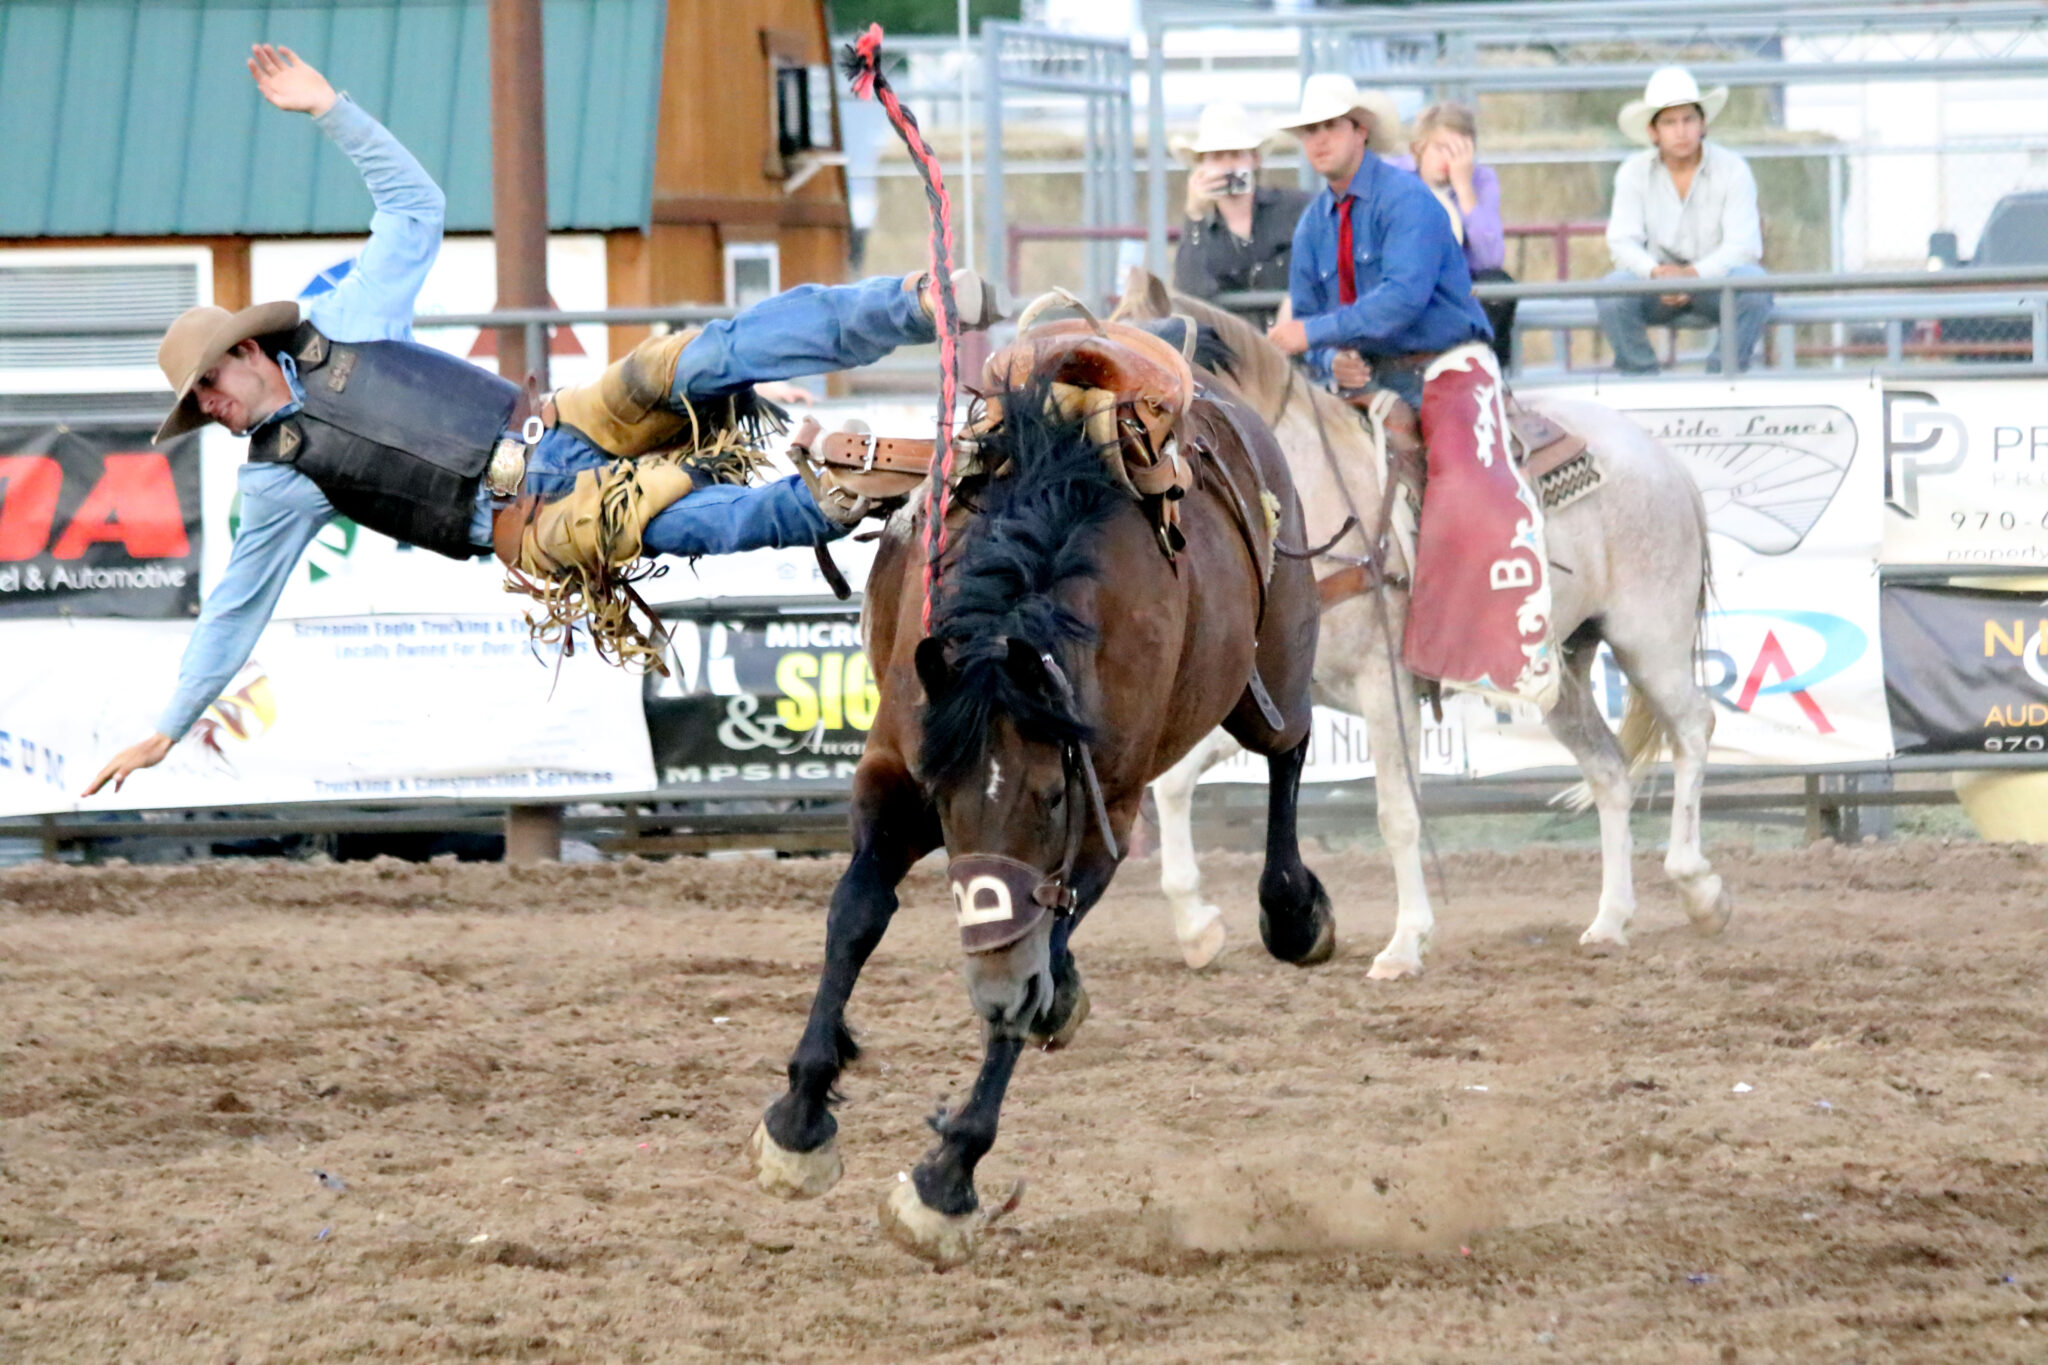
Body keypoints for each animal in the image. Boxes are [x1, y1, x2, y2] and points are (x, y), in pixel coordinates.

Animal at [749, 304, 1327, 1268]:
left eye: (1053, 797)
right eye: (945, 796)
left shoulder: (1106, 816)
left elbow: (1029, 980)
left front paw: (945, 1182)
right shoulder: (893, 770)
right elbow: (856, 917)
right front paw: (798, 1119)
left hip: (1275, 660)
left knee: (1291, 746)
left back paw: (1293, 912)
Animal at [1122, 272, 1728, 978]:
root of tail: (1665, 461)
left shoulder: (1383, 690)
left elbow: (1397, 813)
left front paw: (1405, 942)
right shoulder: (1280, 698)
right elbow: (1176, 780)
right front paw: (1197, 926)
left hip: (1648, 639)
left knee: (1693, 727)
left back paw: (1698, 887)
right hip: (1560, 671)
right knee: (1608, 770)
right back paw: (1610, 919)